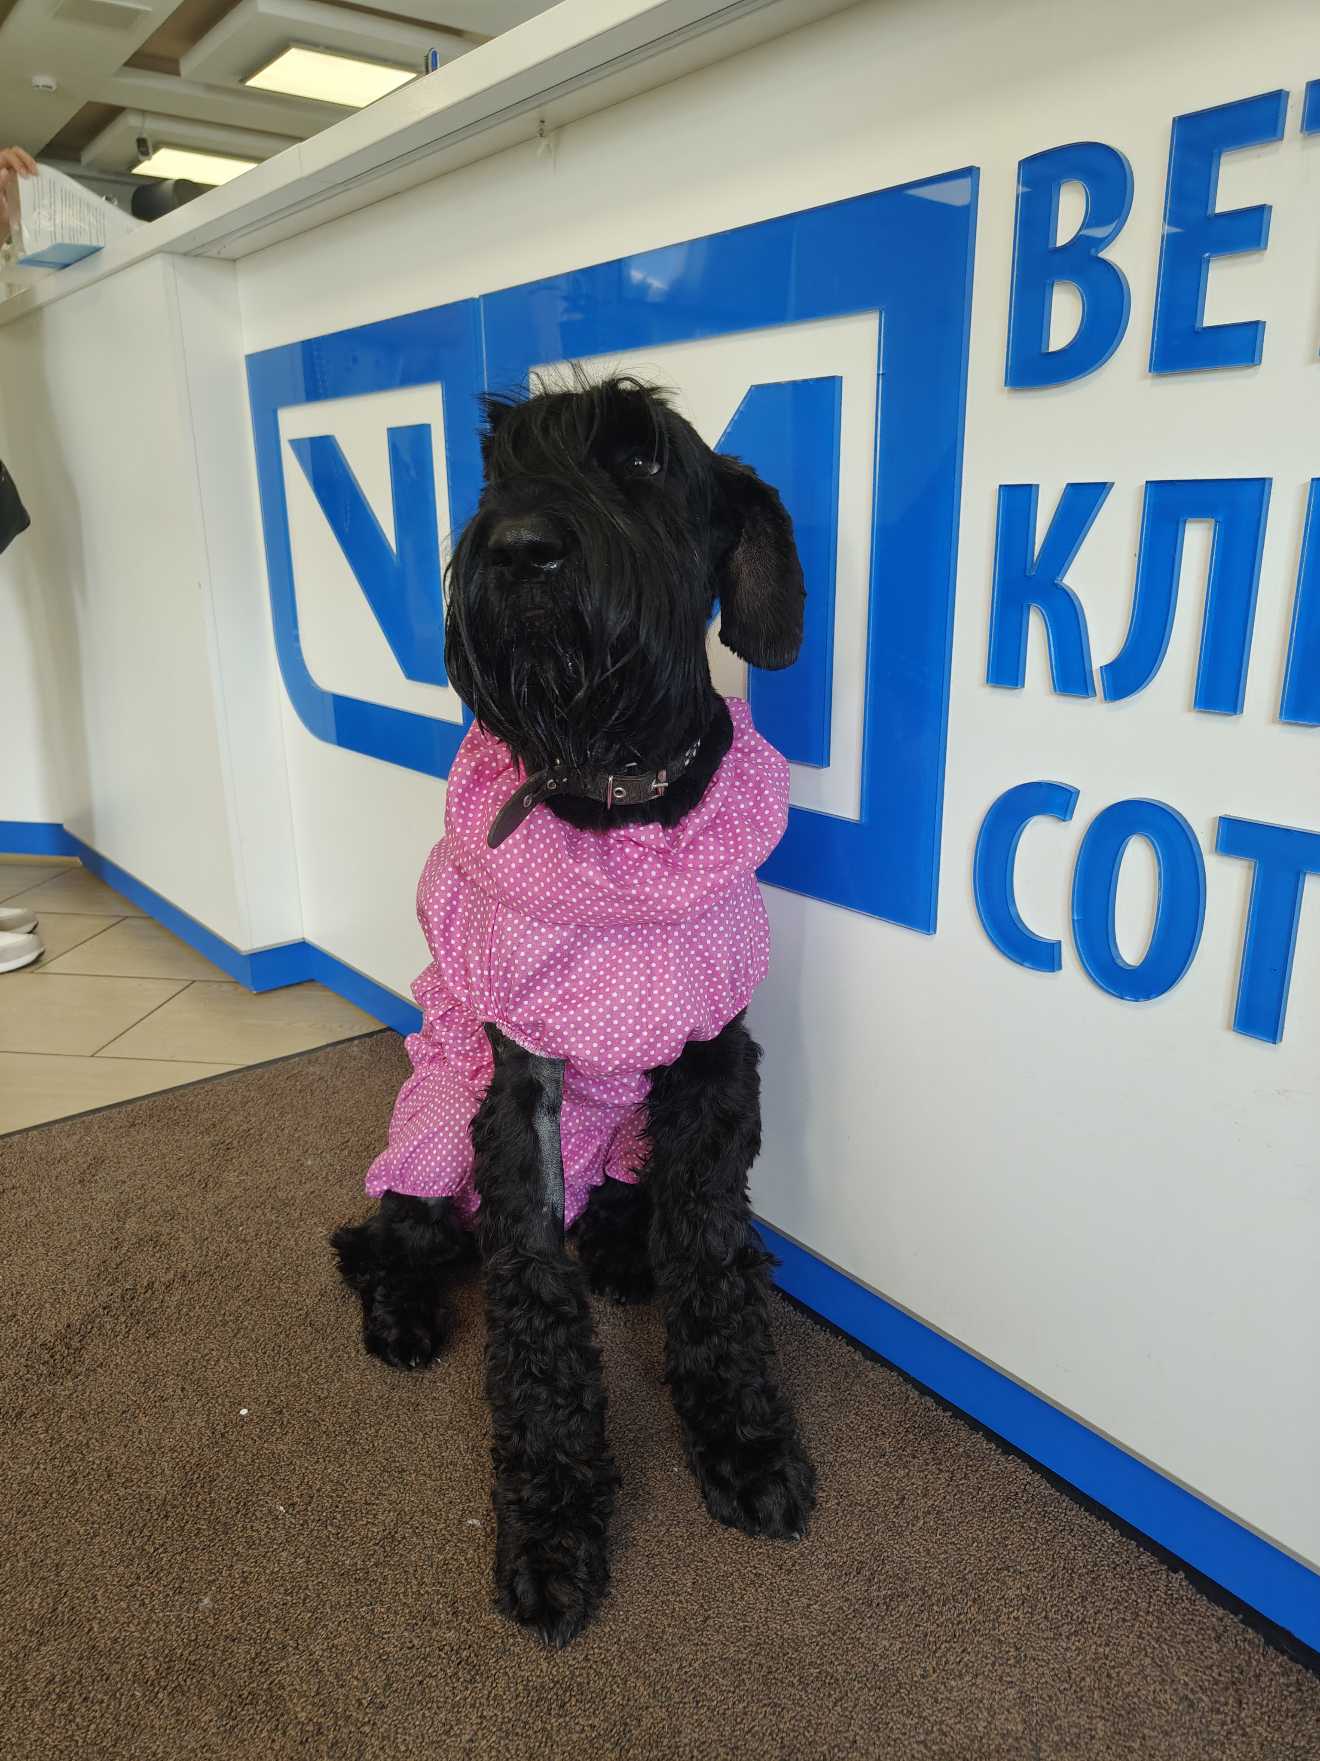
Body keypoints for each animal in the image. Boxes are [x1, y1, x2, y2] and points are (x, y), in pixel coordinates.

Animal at [333, 374, 817, 1646]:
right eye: (496, 467)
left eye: (642, 460)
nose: (516, 549)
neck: (617, 800)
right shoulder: (523, 1093)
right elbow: (535, 1313)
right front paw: (551, 1533)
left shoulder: (710, 1066)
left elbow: (712, 1256)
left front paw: (746, 1445)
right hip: (430, 1137)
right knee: (379, 1237)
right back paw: (400, 1316)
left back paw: (620, 1251)